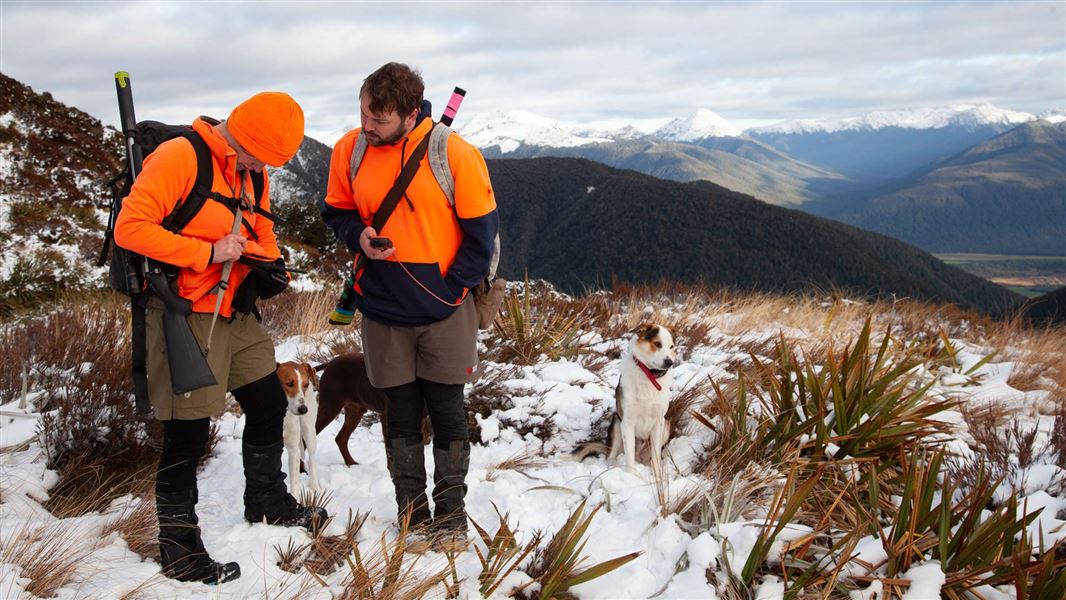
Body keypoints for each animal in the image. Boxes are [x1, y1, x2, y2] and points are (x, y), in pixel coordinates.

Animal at [277, 362, 317, 498]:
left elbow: (294, 484)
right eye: (289, 383)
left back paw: (315, 488)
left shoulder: (294, 450)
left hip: (309, 431)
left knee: (311, 459)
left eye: (305, 385)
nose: (303, 409)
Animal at [609, 323, 673, 479]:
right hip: (617, 423)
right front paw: (632, 477)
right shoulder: (627, 422)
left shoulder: (658, 423)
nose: (670, 362)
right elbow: (629, 455)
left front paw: (657, 477)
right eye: (657, 344)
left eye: (671, 346)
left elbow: (656, 456)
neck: (649, 376)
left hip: (666, 426)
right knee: (613, 454)